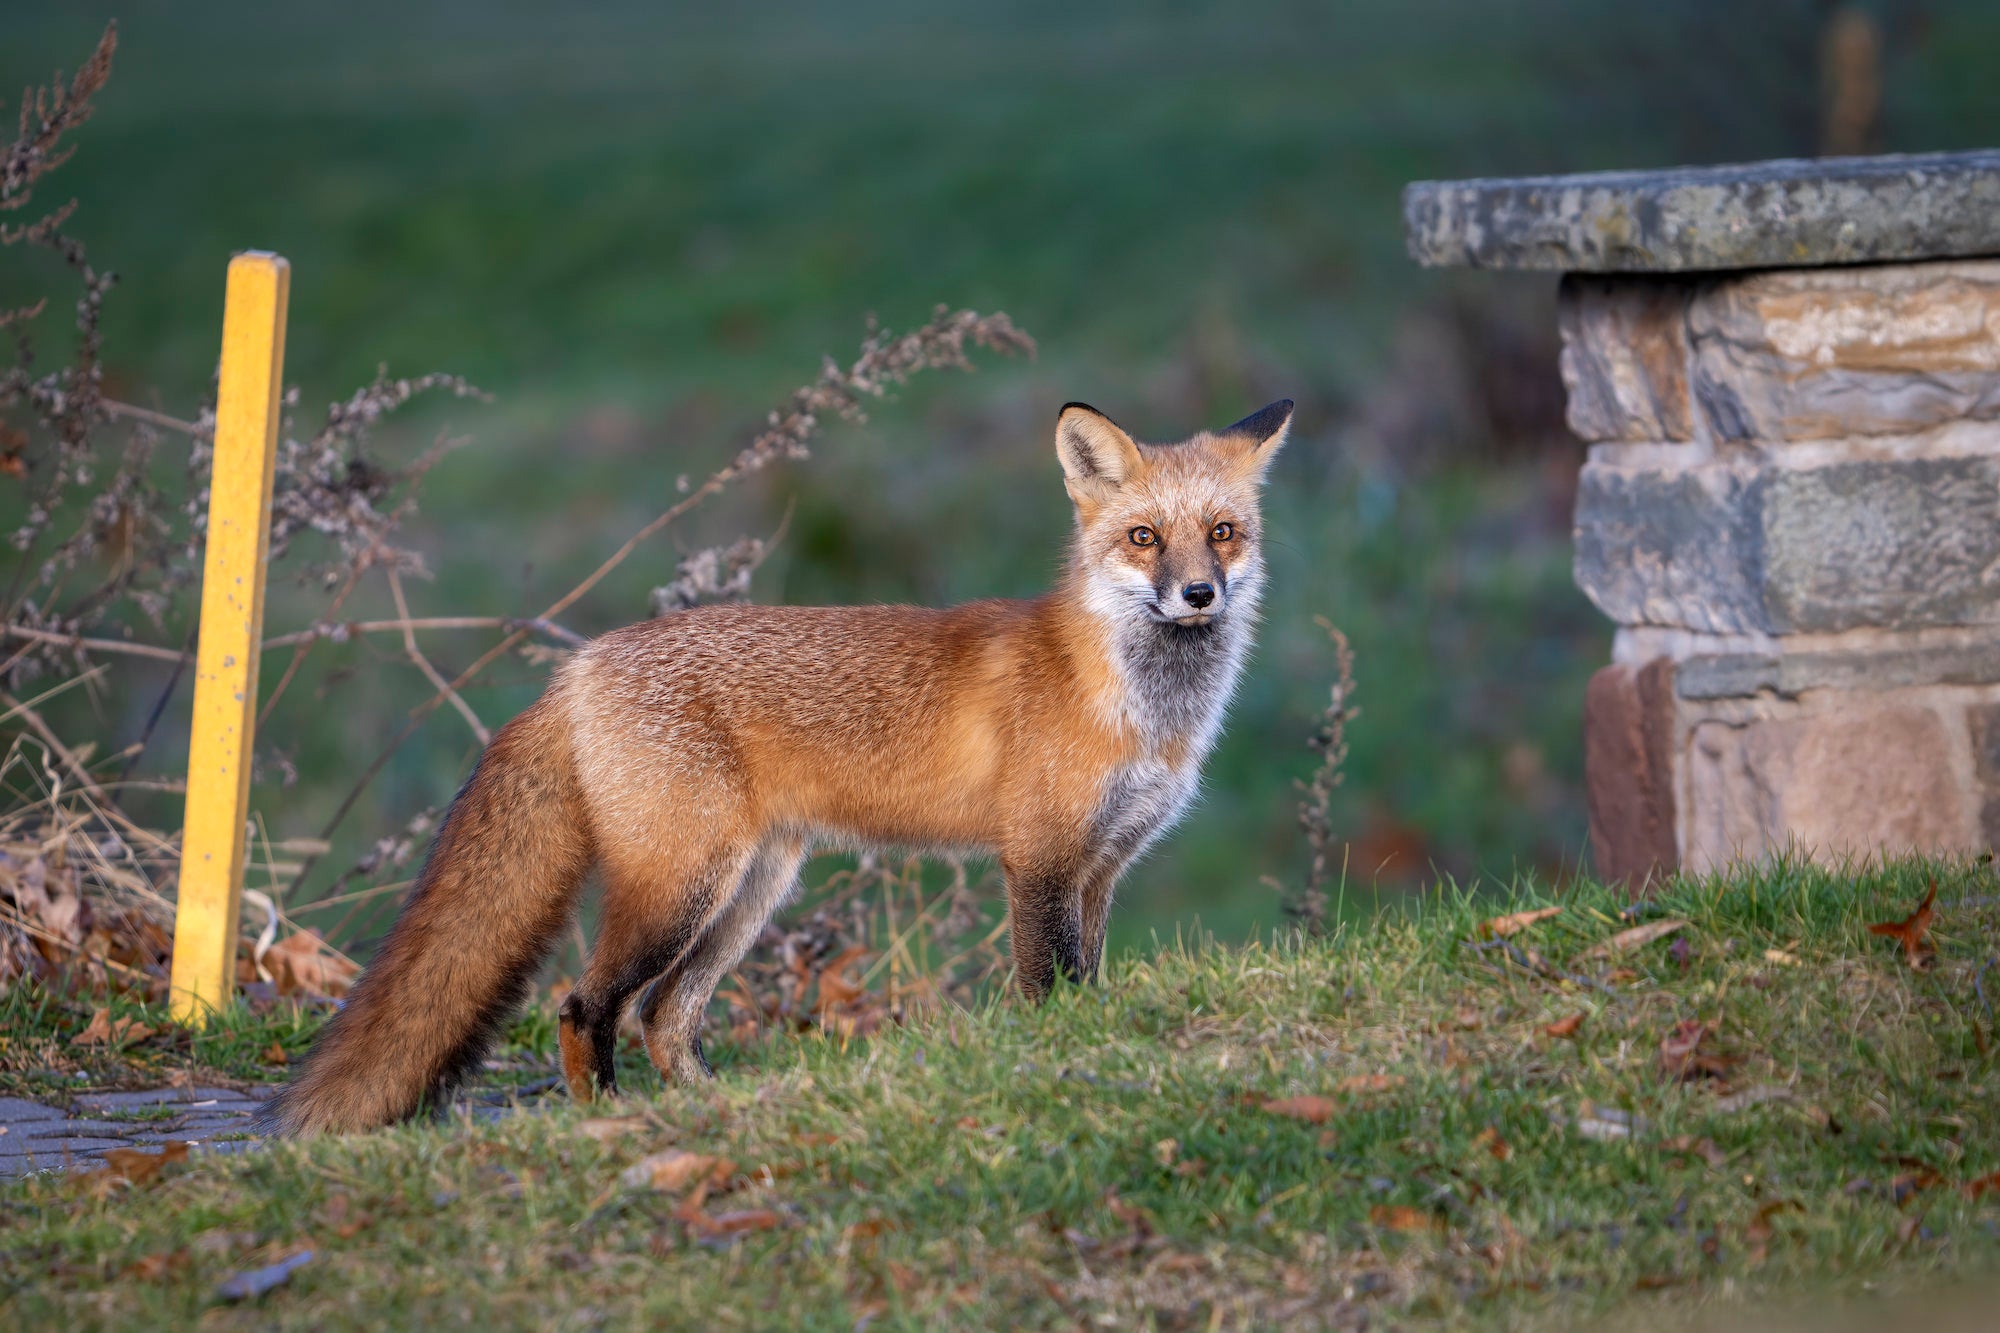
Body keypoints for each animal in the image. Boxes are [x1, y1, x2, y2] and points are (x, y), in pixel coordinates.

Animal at [260, 398, 1295, 1135]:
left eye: (1223, 532)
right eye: (1143, 537)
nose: (1198, 593)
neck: (1138, 706)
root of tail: (577, 666)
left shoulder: (1102, 866)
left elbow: (1089, 981)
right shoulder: (1039, 859)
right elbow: (1049, 987)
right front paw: (1050, 1061)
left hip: (749, 891)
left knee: (665, 1017)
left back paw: (706, 1109)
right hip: (680, 886)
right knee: (587, 1005)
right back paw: (609, 1118)